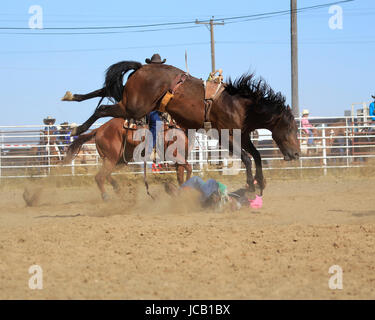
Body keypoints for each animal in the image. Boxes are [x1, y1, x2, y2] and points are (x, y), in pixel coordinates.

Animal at [63, 61, 302, 194]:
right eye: (289, 127)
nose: (297, 154)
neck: (239, 105)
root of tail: (142, 68)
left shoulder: (241, 135)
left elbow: (257, 156)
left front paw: (260, 183)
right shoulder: (226, 136)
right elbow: (246, 157)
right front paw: (251, 186)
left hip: (126, 117)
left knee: (106, 91)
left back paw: (72, 97)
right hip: (133, 107)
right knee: (103, 108)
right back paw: (77, 129)